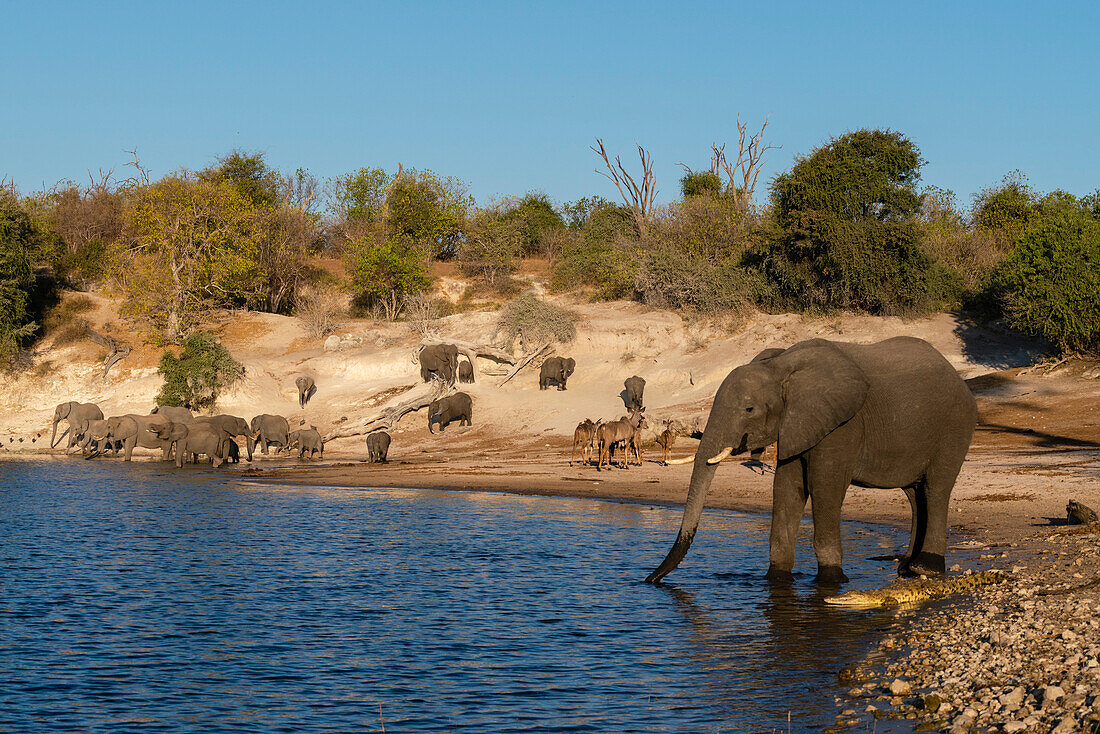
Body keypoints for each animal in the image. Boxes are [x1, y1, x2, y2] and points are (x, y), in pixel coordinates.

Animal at [642, 338, 981, 585]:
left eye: (749, 409)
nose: (649, 581)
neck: (780, 368)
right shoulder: (797, 424)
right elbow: (787, 489)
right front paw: (777, 579)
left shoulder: (842, 425)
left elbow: (824, 488)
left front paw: (832, 582)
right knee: (914, 495)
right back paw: (907, 569)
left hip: (955, 425)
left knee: (936, 489)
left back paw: (927, 569)